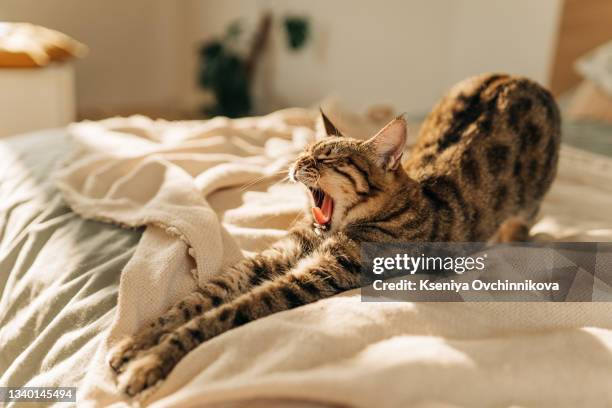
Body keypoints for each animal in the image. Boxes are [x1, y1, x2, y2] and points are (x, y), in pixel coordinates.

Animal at [109, 73, 560, 396]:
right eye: (304, 150)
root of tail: (520, 78)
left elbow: (225, 313)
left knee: (521, 223)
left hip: (531, 201)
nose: (297, 163)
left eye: (326, 158)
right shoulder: (279, 255)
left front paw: (151, 362)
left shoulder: (320, 272)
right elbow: (198, 299)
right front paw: (138, 342)